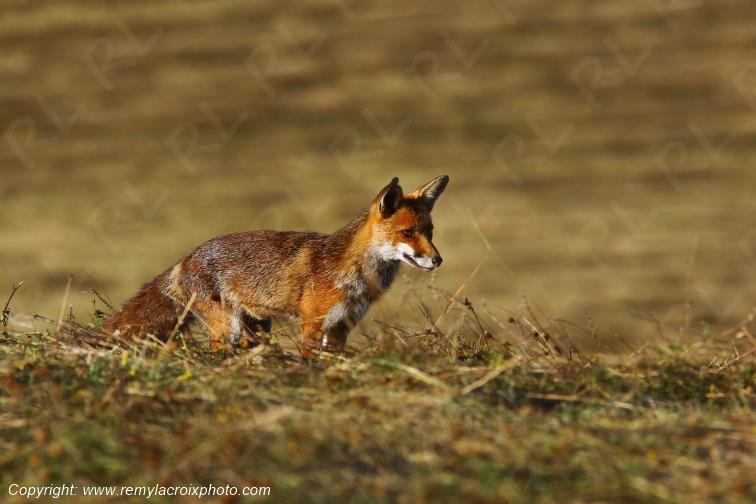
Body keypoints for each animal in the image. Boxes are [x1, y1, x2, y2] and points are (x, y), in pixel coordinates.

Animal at [104, 175, 449, 357]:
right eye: (407, 233)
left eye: (430, 232)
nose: (437, 259)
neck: (357, 275)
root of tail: (185, 258)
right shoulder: (313, 323)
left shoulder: (342, 326)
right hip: (226, 328)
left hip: (254, 328)